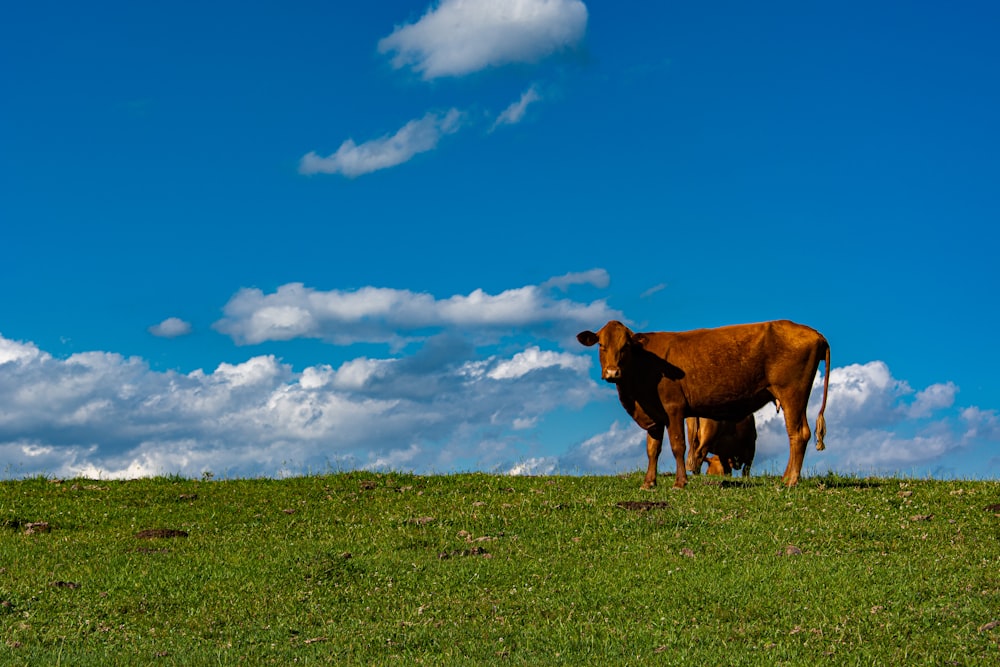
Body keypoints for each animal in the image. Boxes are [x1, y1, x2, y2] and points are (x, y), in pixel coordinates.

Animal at [580, 320, 828, 488]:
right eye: (601, 345)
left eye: (626, 346)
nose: (612, 372)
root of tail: (813, 332)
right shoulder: (654, 415)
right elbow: (652, 449)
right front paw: (648, 483)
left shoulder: (674, 408)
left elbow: (678, 445)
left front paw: (680, 482)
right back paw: (786, 478)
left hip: (792, 395)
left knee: (798, 434)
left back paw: (791, 480)